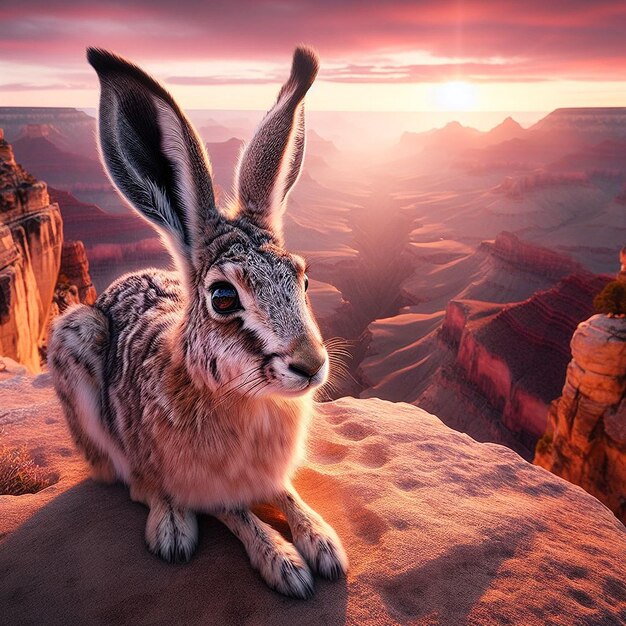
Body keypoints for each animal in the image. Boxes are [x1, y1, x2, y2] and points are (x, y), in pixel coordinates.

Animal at [48, 45, 348, 596]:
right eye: (224, 297)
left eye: (304, 278)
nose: (311, 364)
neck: (244, 400)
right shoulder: (205, 486)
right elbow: (236, 512)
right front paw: (288, 566)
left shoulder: (274, 478)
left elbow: (289, 496)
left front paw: (324, 543)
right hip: (76, 339)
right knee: (133, 481)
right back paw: (170, 526)